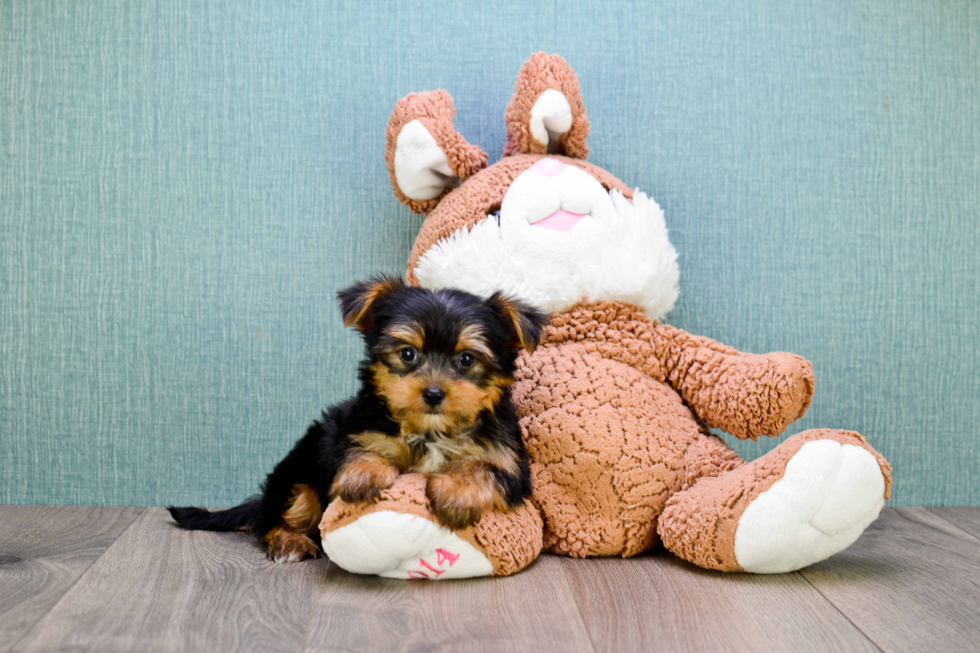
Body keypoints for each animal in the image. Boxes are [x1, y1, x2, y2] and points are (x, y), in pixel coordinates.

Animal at [171, 276, 548, 560]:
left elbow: (481, 466)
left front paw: (458, 491)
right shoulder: (354, 429)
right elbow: (361, 448)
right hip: (299, 469)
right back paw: (289, 541)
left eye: (467, 360)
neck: (431, 431)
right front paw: (363, 473)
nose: (433, 393)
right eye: (407, 354)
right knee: (279, 515)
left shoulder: (510, 461)